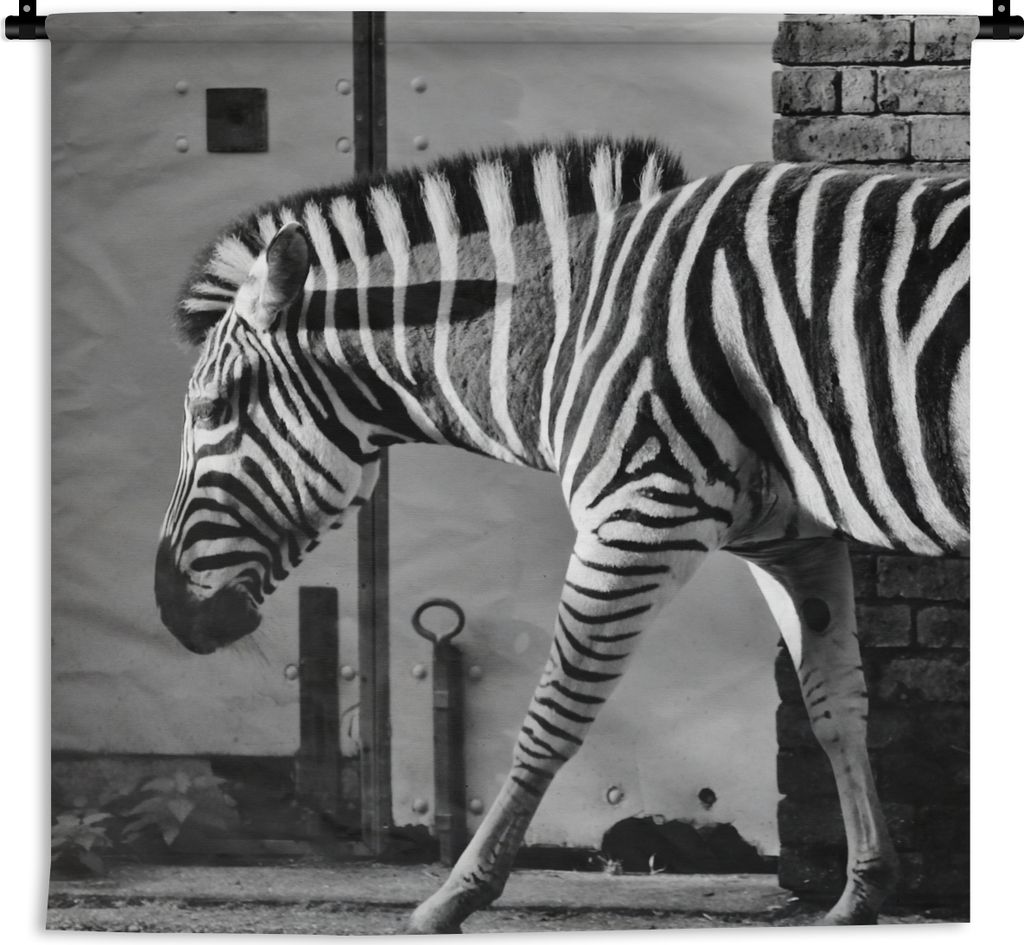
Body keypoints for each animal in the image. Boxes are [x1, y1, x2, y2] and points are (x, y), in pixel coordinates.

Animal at [154, 137, 969, 930]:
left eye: (212, 409)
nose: (169, 608)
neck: (568, 330)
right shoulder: (790, 539)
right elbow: (835, 705)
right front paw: (863, 890)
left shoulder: (639, 512)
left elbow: (551, 713)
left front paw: (457, 891)